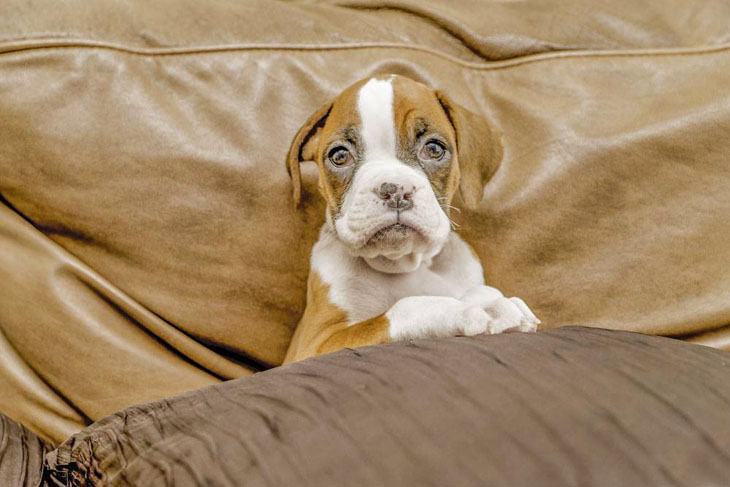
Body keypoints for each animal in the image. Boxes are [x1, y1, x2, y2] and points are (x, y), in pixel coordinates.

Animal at [282, 75, 536, 362]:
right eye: (339, 155)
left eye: (434, 148)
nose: (394, 190)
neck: (403, 262)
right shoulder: (315, 343)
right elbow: (402, 309)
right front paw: (468, 309)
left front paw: (488, 300)